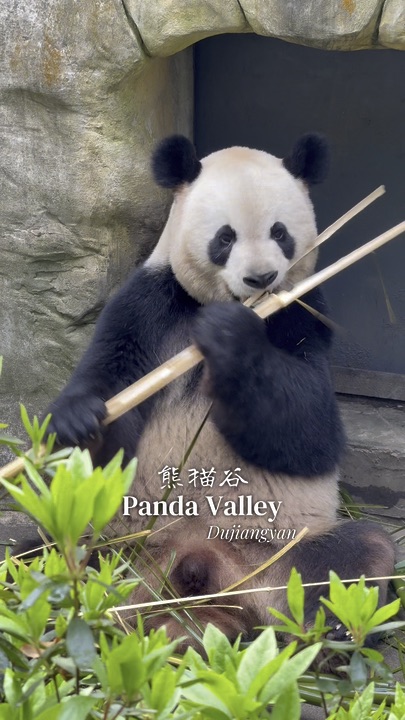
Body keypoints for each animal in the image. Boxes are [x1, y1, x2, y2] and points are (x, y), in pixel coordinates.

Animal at [46, 134, 395, 643]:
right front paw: (79, 421)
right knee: (38, 549)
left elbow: (312, 434)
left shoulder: (302, 313)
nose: (261, 278)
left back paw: (333, 631)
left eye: (280, 232)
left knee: (359, 556)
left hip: (277, 556)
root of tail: (201, 567)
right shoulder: (150, 304)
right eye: (225, 238)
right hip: (116, 547)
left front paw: (232, 336)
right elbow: (113, 404)